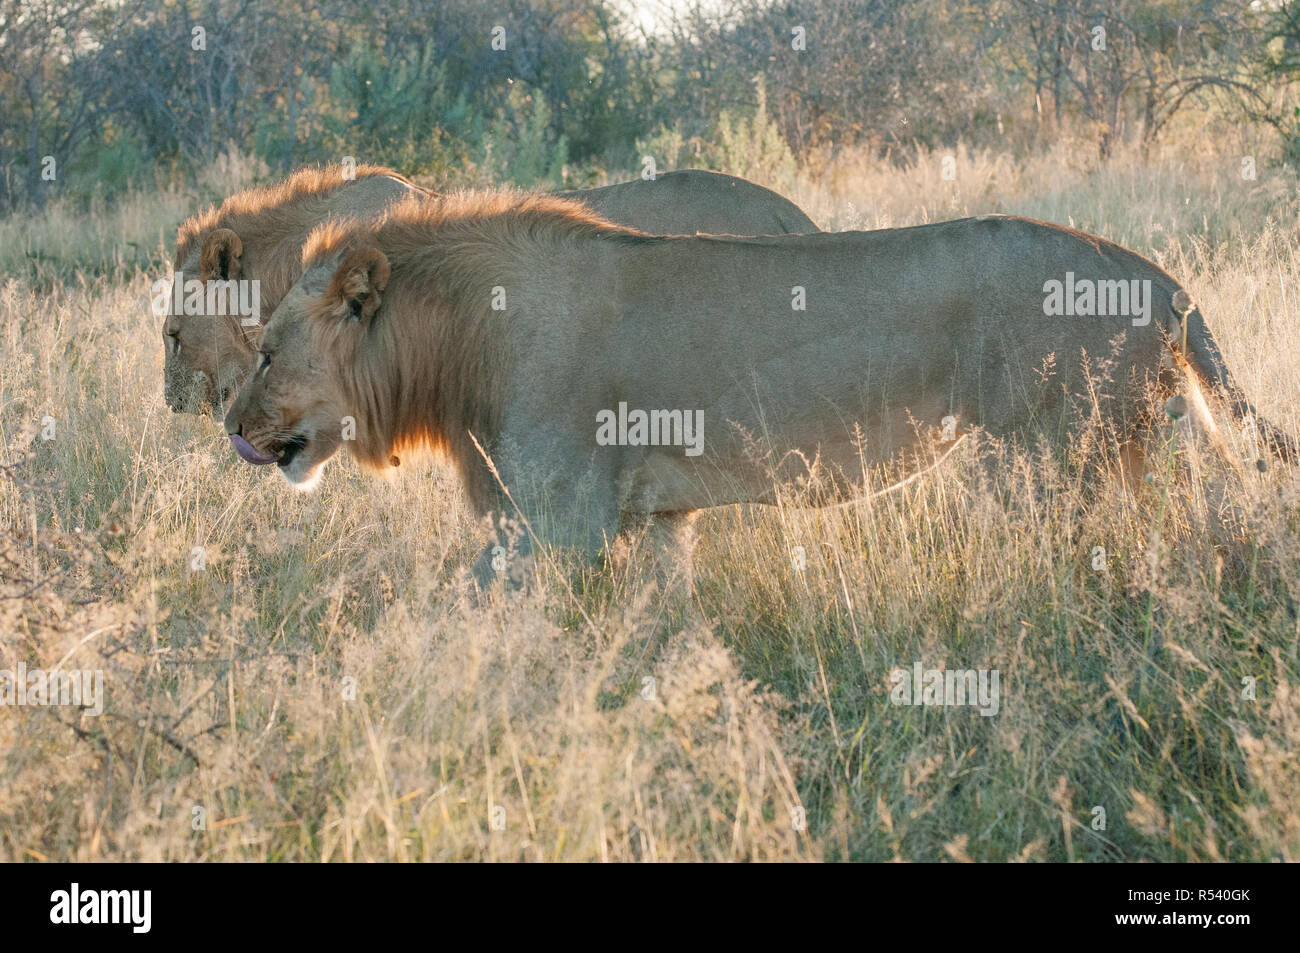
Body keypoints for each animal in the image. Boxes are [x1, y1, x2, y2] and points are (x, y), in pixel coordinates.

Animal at [218, 191, 1294, 590]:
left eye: (266, 352)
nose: (228, 424)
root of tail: (1153, 273)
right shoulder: (652, 520)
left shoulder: (557, 524)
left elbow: (471, 601)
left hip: (1059, 457)